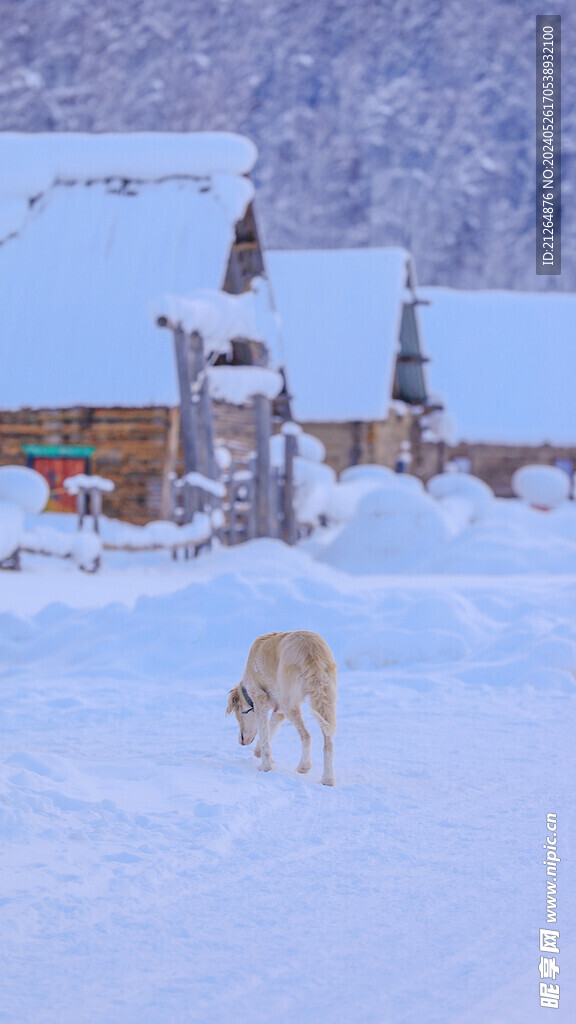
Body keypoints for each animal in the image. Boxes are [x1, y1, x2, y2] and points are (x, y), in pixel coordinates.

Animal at [226, 626, 336, 786]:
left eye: (240, 714)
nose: (241, 742)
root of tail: (310, 650)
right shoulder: (279, 708)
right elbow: (270, 728)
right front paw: (258, 753)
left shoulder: (260, 700)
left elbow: (265, 738)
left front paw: (266, 767)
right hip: (325, 700)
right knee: (328, 742)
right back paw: (327, 779)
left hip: (289, 703)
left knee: (306, 735)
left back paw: (304, 766)